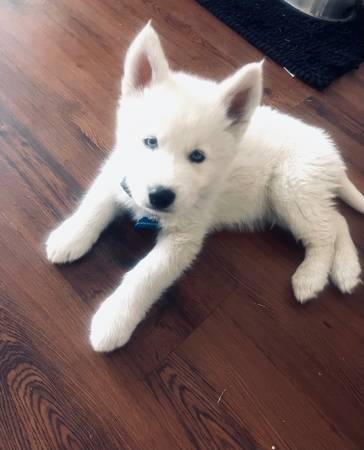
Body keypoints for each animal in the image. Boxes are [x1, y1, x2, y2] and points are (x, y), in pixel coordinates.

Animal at [46, 22, 364, 352]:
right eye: (150, 142)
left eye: (198, 157)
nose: (160, 196)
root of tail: (327, 147)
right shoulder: (118, 177)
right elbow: (93, 205)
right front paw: (70, 236)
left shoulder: (184, 239)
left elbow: (146, 275)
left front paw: (113, 321)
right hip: (295, 199)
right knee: (336, 220)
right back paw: (347, 270)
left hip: (291, 189)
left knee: (325, 233)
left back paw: (312, 277)